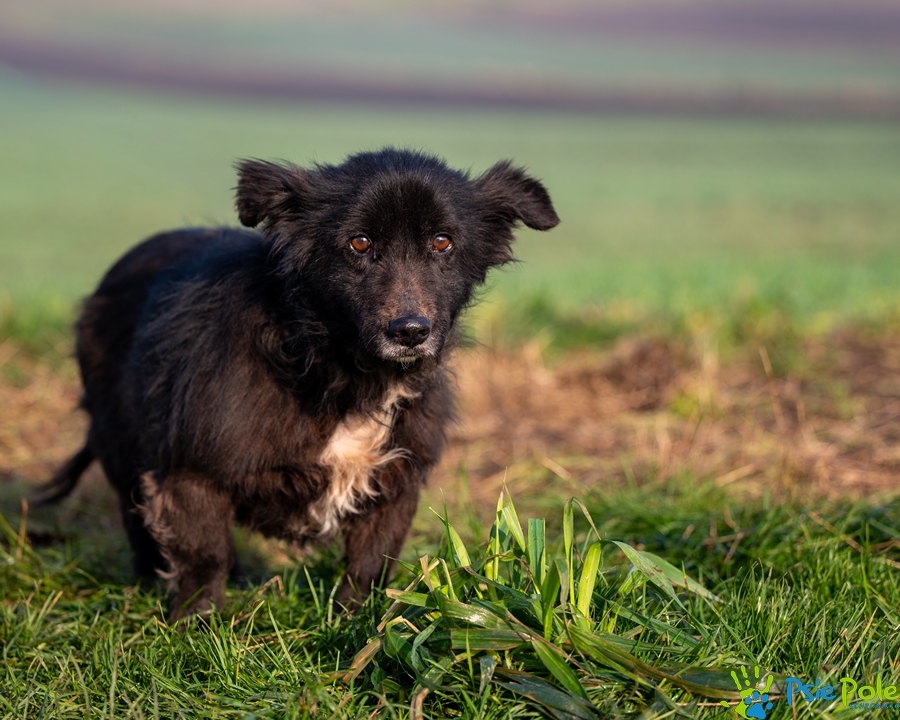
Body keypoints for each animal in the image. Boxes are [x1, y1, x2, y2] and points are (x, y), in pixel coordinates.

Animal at [40, 148, 559, 620]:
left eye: (443, 242)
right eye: (359, 243)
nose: (411, 331)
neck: (341, 369)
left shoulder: (395, 483)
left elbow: (370, 565)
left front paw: (356, 626)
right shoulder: (190, 468)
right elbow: (204, 556)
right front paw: (195, 628)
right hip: (122, 445)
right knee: (137, 519)